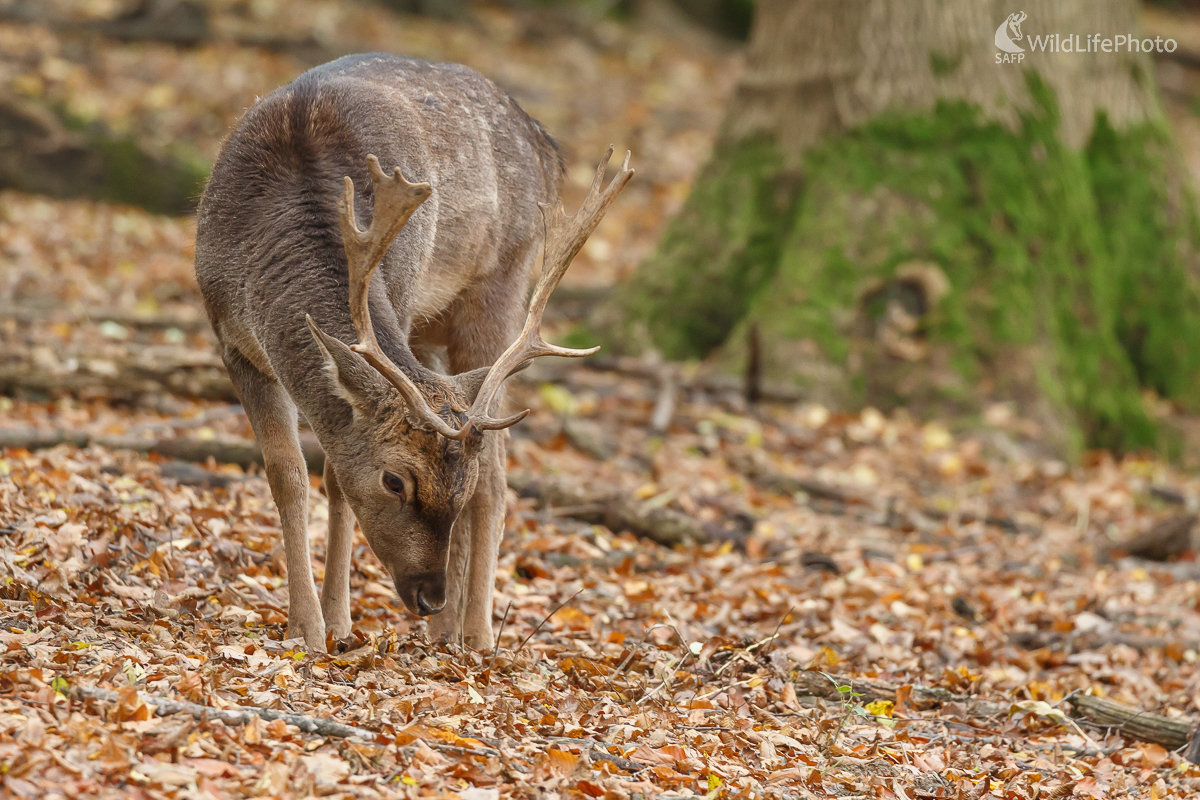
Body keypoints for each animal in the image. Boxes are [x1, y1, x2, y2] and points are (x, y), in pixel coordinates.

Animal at [192, 54, 633, 652]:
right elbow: (287, 476)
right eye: (394, 481)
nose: (430, 596)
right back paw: (447, 634)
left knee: (498, 476)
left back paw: (476, 635)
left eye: (451, 488)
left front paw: (336, 622)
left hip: (501, 286)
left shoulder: (396, 300)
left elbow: (335, 477)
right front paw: (306, 627)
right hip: (432, 330)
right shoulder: (232, 340)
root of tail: (548, 144)